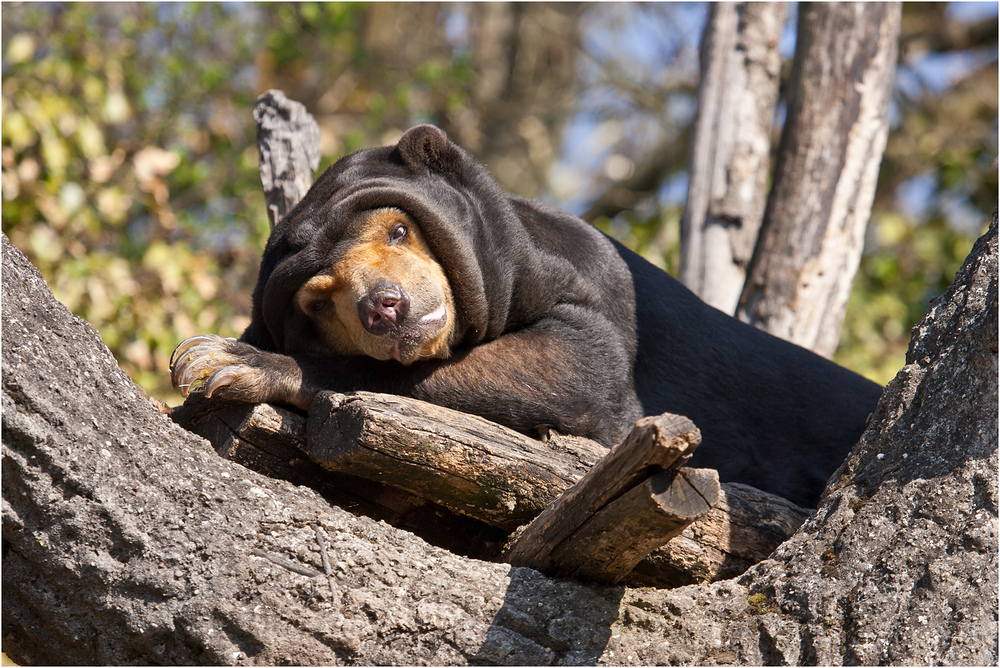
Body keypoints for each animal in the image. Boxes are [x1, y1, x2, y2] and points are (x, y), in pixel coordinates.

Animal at [172, 124, 884, 506]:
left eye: (399, 230)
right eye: (319, 302)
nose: (384, 306)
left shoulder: (589, 282)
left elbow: (583, 368)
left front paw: (225, 360)